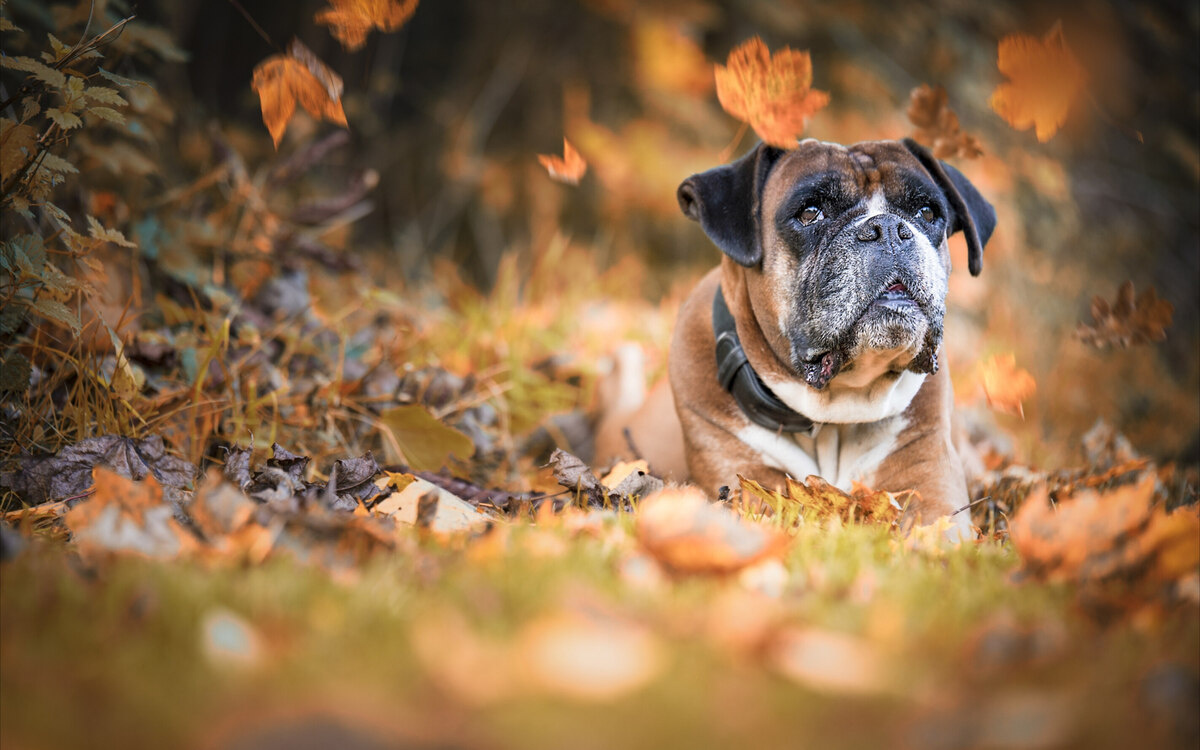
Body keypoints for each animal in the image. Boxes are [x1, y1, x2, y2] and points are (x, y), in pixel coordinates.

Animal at [595, 137, 998, 535]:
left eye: (927, 213)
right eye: (810, 213)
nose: (888, 229)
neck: (836, 411)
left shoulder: (929, 481)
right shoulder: (746, 481)